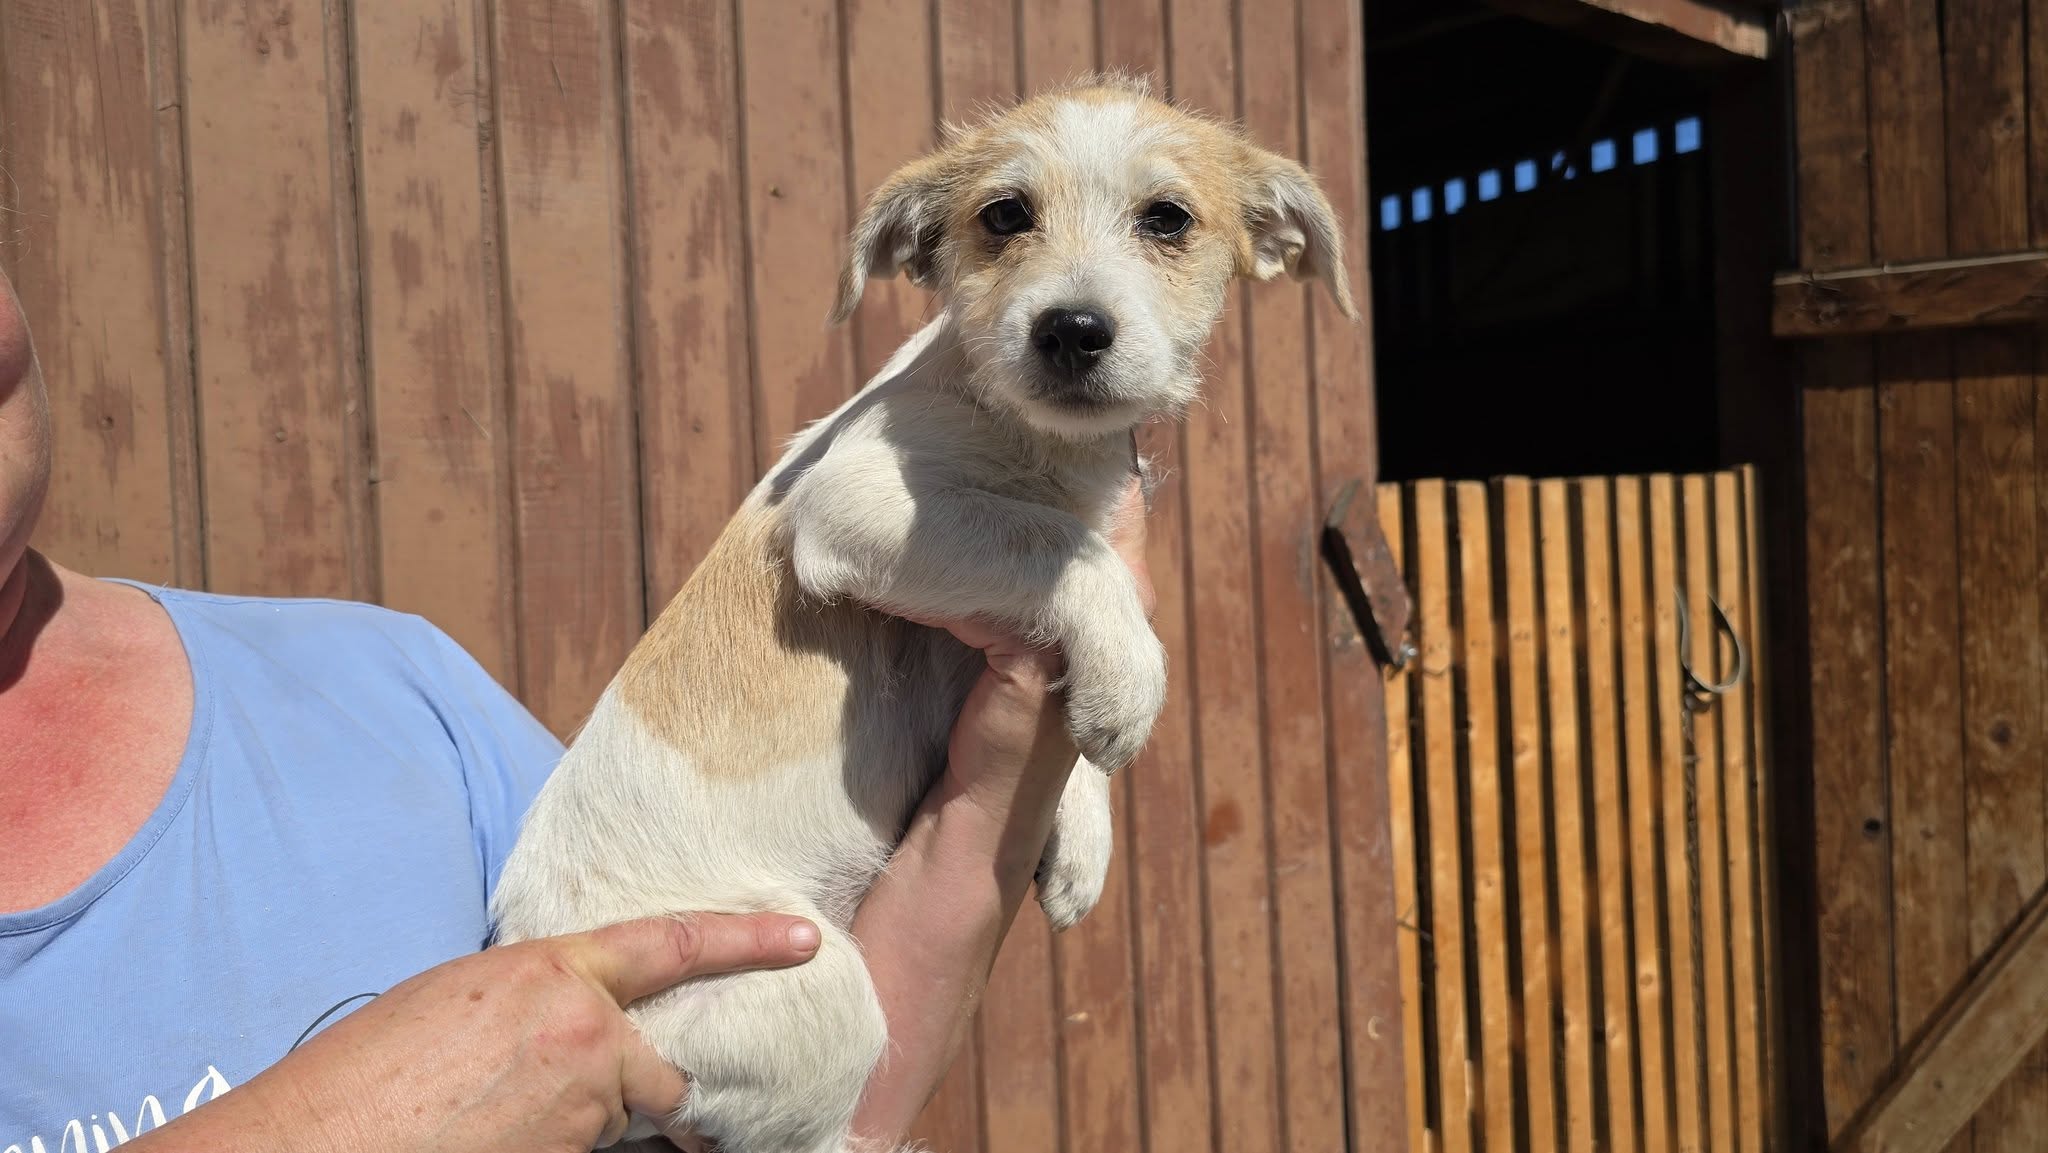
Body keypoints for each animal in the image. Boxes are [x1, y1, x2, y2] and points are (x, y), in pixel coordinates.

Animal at [488, 73, 1355, 1153]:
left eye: (1167, 219)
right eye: (1004, 215)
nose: (1070, 330)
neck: (1043, 447)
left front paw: (1083, 825)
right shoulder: (859, 501)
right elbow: (1057, 544)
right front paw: (1127, 685)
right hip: (807, 990)